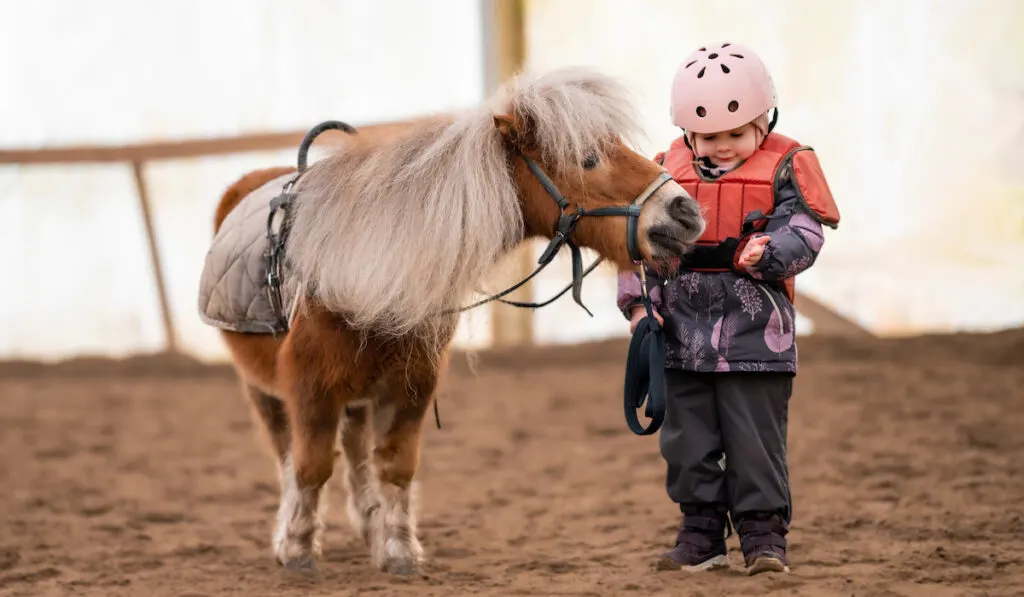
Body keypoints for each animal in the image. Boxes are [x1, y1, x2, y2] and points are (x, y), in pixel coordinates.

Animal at [207, 67, 704, 577]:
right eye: (588, 159)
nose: (685, 211)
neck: (369, 270)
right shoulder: (310, 388)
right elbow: (310, 468)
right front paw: (298, 549)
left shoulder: (410, 386)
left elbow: (394, 466)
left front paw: (398, 549)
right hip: (263, 391)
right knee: (288, 456)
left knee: (356, 454)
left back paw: (367, 521)